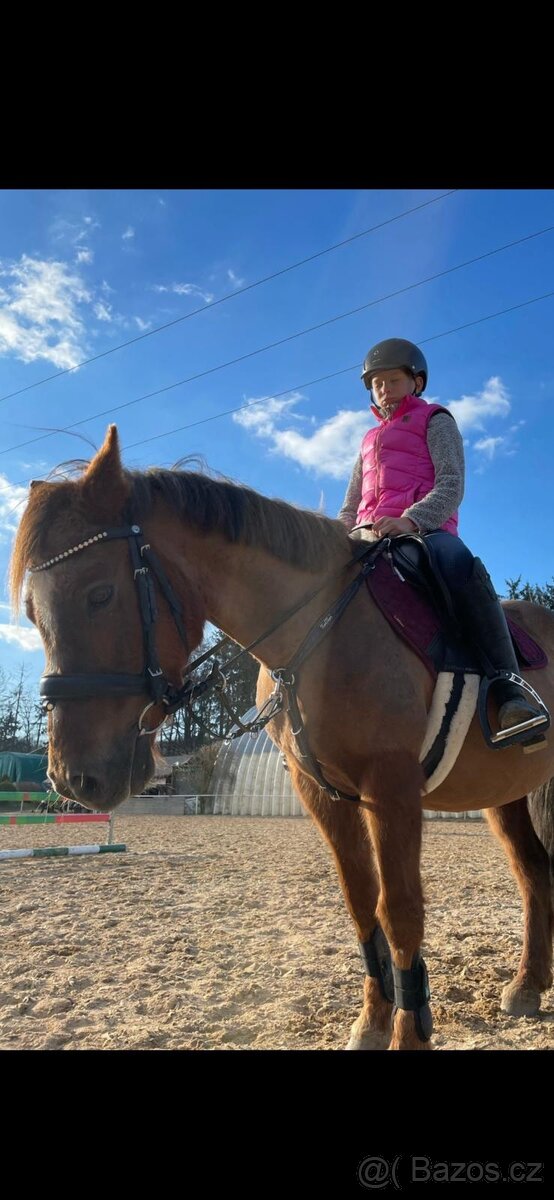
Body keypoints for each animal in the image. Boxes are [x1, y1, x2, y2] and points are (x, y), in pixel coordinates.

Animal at [10, 425, 554, 1050]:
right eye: (32, 611)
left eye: (100, 594)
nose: (73, 776)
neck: (320, 632)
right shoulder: (320, 790)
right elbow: (361, 902)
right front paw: (371, 1022)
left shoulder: (391, 786)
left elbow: (400, 909)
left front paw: (409, 1031)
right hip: (505, 796)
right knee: (534, 873)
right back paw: (528, 986)